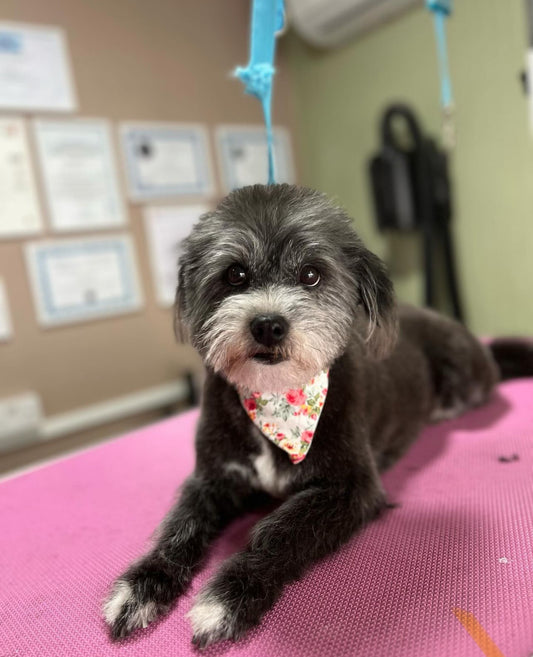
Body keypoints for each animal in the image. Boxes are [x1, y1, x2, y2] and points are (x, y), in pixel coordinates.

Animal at [104, 183, 532, 644]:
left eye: (311, 274)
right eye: (235, 274)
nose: (267, 325)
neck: (276, 399)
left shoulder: (351, 488)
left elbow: (282, 530)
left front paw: (232, 594)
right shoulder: (211, 479)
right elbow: (180, 524)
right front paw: (144, 584)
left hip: (462, 370)